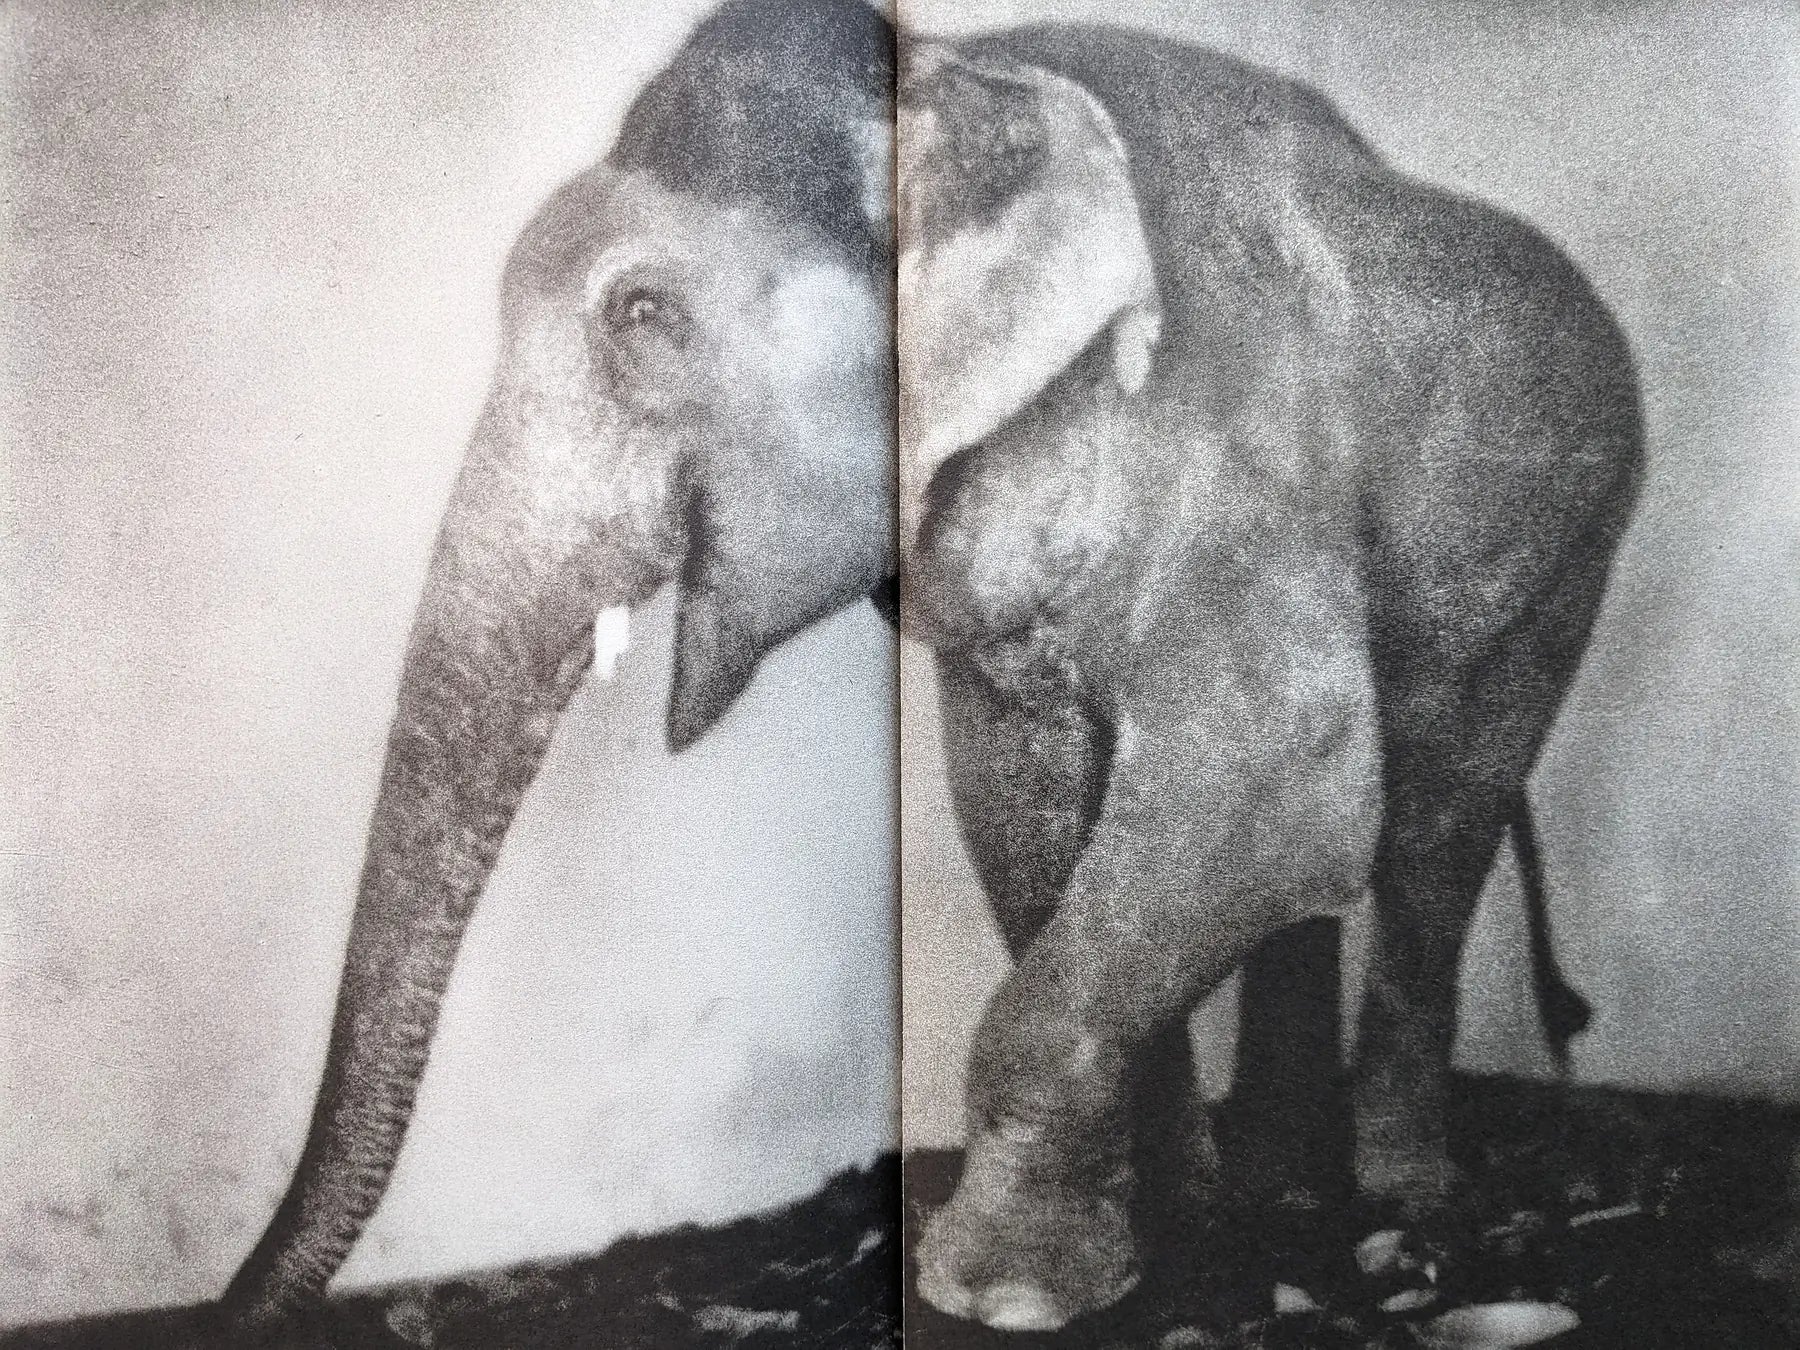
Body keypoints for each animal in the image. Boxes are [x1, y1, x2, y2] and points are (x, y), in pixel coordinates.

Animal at [216, 0, 1643, 1339]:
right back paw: (1280, 1184)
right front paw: (1157, 1228)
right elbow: (1021, 799)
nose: (224, 1307)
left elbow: (1277, 781)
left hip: (1568, 550)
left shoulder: (1238, 449)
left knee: (1431, 820)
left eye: (642, 314)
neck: (958, 71)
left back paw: (1399, 1197)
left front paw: (1002, 1293)